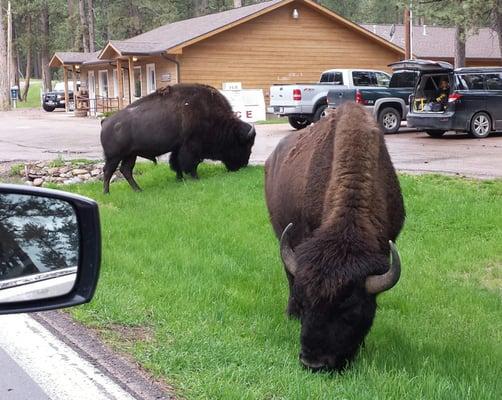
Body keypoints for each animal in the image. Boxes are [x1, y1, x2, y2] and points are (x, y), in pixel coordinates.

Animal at [99, 83, 255, 193]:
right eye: (245, 145)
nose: (242, 165)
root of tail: (105, 121)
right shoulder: (191, 146)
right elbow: (191, 163)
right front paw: (195, 178)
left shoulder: (178, 147)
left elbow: (176, 163)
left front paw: (180, 179)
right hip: (114, 156)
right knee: (108, 171)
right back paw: (107, 193)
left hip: (131, 155)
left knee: (126, 170)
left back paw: (138, 190)